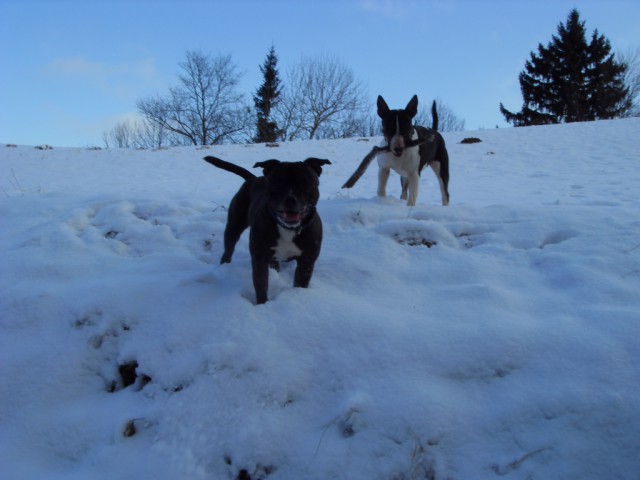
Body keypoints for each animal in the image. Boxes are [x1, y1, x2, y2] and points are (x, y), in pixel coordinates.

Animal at [204, 156, 330, 306]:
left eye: (305, 182)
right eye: (278, 183)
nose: (290, 199)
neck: (288, 229)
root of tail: (253, 178)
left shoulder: (307, 261)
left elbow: (300, 282)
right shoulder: (260, 258)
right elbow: (261, 283)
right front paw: (262, 303)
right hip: (234, 225)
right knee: (229, 248)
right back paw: (224, 266)